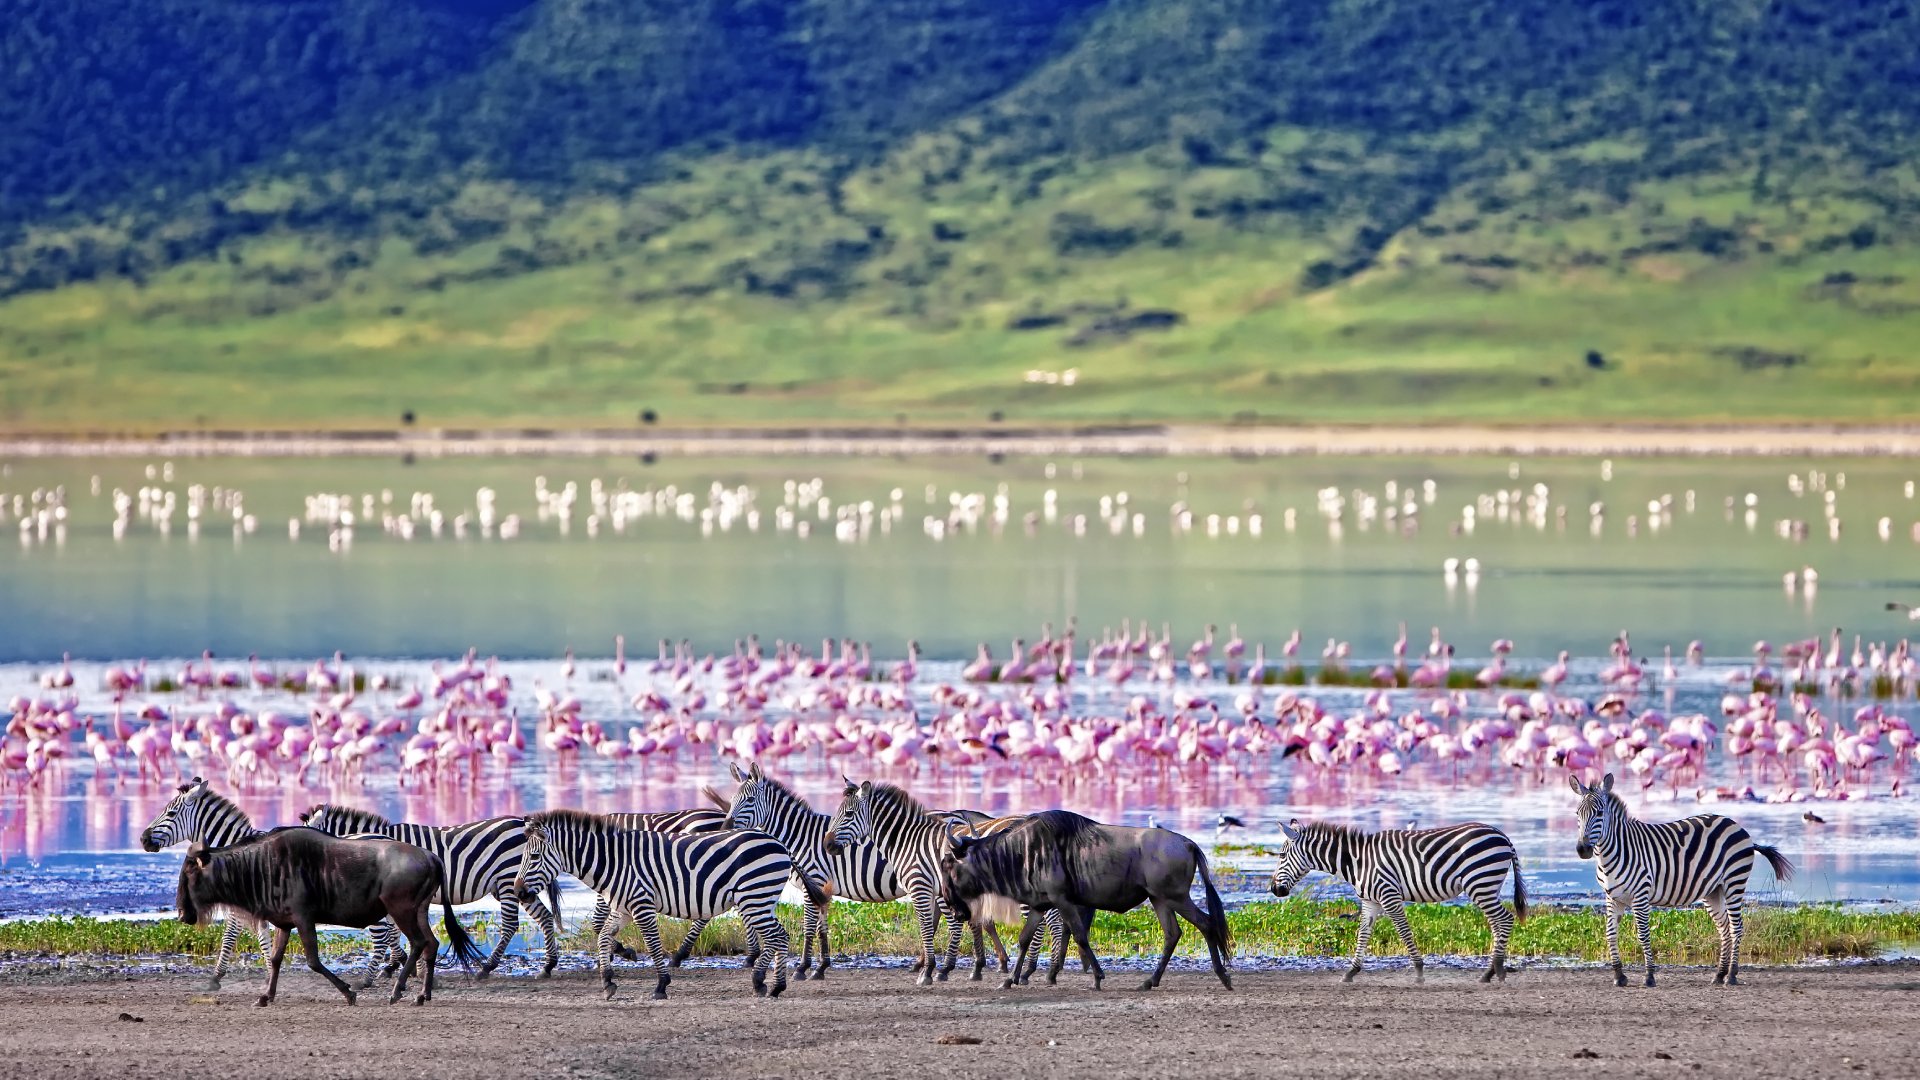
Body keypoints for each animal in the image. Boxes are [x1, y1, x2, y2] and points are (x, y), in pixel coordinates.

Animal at [300, 804, 563, 980]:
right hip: (519, 886)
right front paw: (400, 963)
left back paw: (487, 968)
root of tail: (523, 824)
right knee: (544, 917)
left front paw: (398, 964)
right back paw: (548, 965)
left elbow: (393, 932)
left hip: (508, 881)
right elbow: (394, 931)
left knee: (510, 925)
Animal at [512, 809, 821, 1000]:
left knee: (778, 936)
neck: (614, 861)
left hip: (754, 898)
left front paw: (661, 985)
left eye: (535, 857)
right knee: (778, 936)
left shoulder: (642, 904)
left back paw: (770, 984)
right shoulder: (623, 909)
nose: (518, 892)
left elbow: (652, 944)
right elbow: (602, 937)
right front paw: (608, 981)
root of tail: (779, 844)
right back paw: (767, 984)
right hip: (759, 900)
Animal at [1269, 817, 1527, 983]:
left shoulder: (1389, 896)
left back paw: (1496, 971)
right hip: (1486, 886)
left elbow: (1404, 932)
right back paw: (1489, 973)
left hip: (1480, 883)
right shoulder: (1370, 901)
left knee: (1505, 919)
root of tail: (1502, 835)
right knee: (1497, 923)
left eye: (1281, 855)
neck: (1358, 861)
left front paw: (1419, 971)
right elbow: (1363, 934)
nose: (1273, 889)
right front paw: (1351, 972)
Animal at [1570, 772, 1794, 987]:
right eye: (1577, 814)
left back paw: (1731, 975)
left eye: (1599, 813)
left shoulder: (1641, 895)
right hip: (1713, 890)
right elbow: (1610, 934)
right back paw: (1719, 975)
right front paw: (1619, 976)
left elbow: (1643, 934)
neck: (1612, 854)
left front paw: (1649, 976)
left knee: (1736, 927)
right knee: (1724, 928)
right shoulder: (1612, 898)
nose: (1582, 849)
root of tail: (1735, 825)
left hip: (1734, 882)